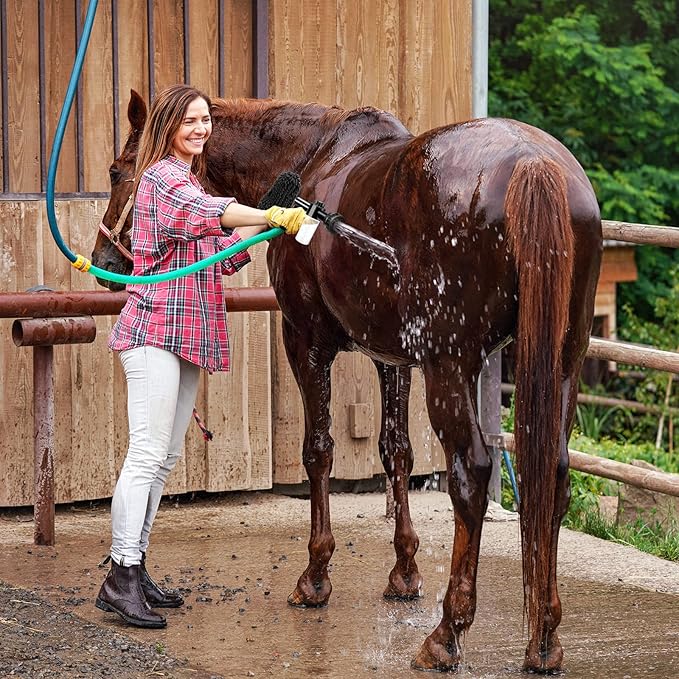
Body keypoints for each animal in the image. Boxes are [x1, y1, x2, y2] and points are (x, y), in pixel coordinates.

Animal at [92, 90, 602, 673]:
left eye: (118, 172)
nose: (107, 260)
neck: (312, 159)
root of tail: (532, 163)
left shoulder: (306, 343)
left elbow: (319, 451)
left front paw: (315, 578)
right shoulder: (394, 359)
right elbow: (396, 452)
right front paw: (404, 573)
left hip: (452, 368)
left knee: (471, 473)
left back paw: (447, 634)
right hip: (561, 365)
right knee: (555, 474)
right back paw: (544, 638)